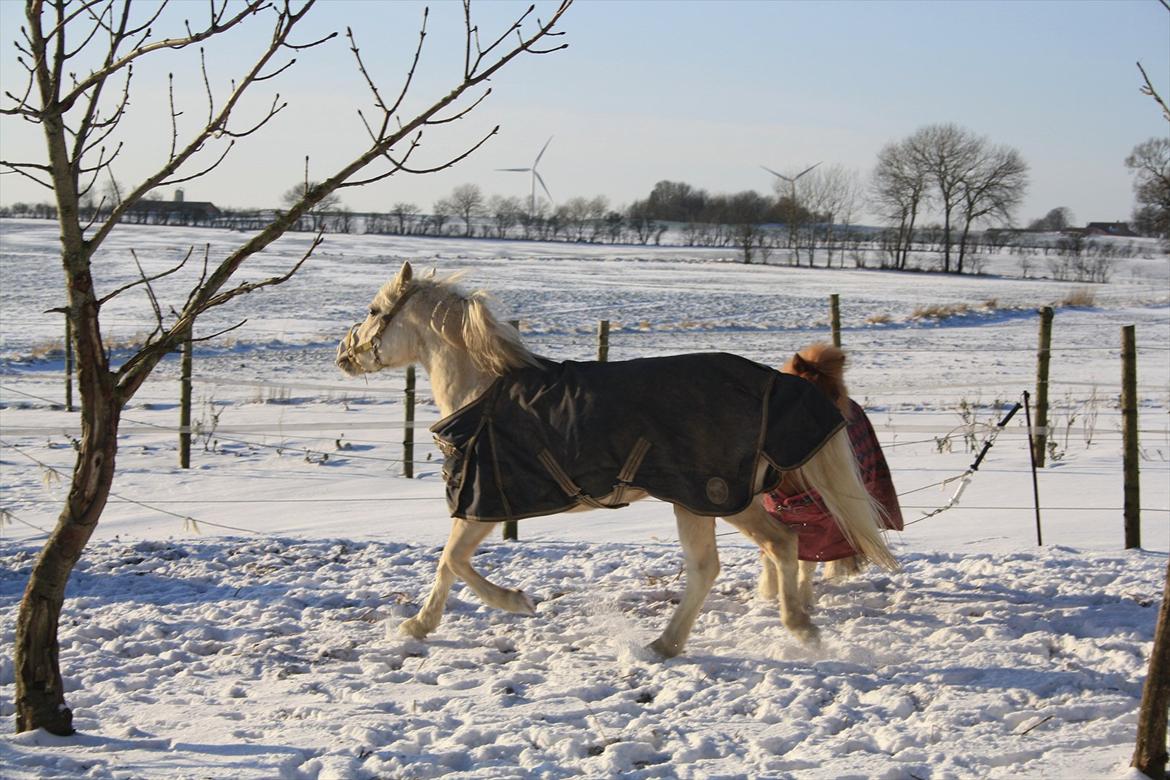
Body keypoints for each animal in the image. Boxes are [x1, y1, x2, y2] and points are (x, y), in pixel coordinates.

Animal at [339, 264, 893, 659]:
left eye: (373, 309)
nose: (343, 355)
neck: (483, 392)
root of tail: (775, 383)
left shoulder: (484, 503)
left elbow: (452, 559)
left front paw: (514, 602)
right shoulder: (487, 505)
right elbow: (447, 564)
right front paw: (419, 625)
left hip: (709, 498)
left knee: (762, 550)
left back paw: (783, 631)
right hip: (715, 501)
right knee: (750, 555)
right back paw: (671, 644)